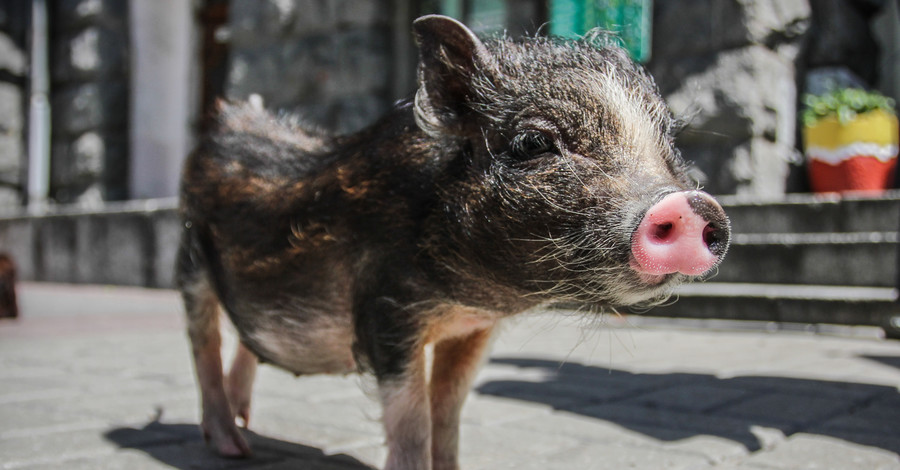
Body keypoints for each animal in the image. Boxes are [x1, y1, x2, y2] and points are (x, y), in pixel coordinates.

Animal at [176, 13, 732, 470]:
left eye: (669, 143)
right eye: (534, 142)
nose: (692, 204)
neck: (466, 297)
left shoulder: (473, 330)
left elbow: (447, 411)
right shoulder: (386, 312)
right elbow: (412, 422)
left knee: (245, 342)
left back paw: (246, 428)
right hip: (189, 260)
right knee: (204, 346)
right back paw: (232, 447)